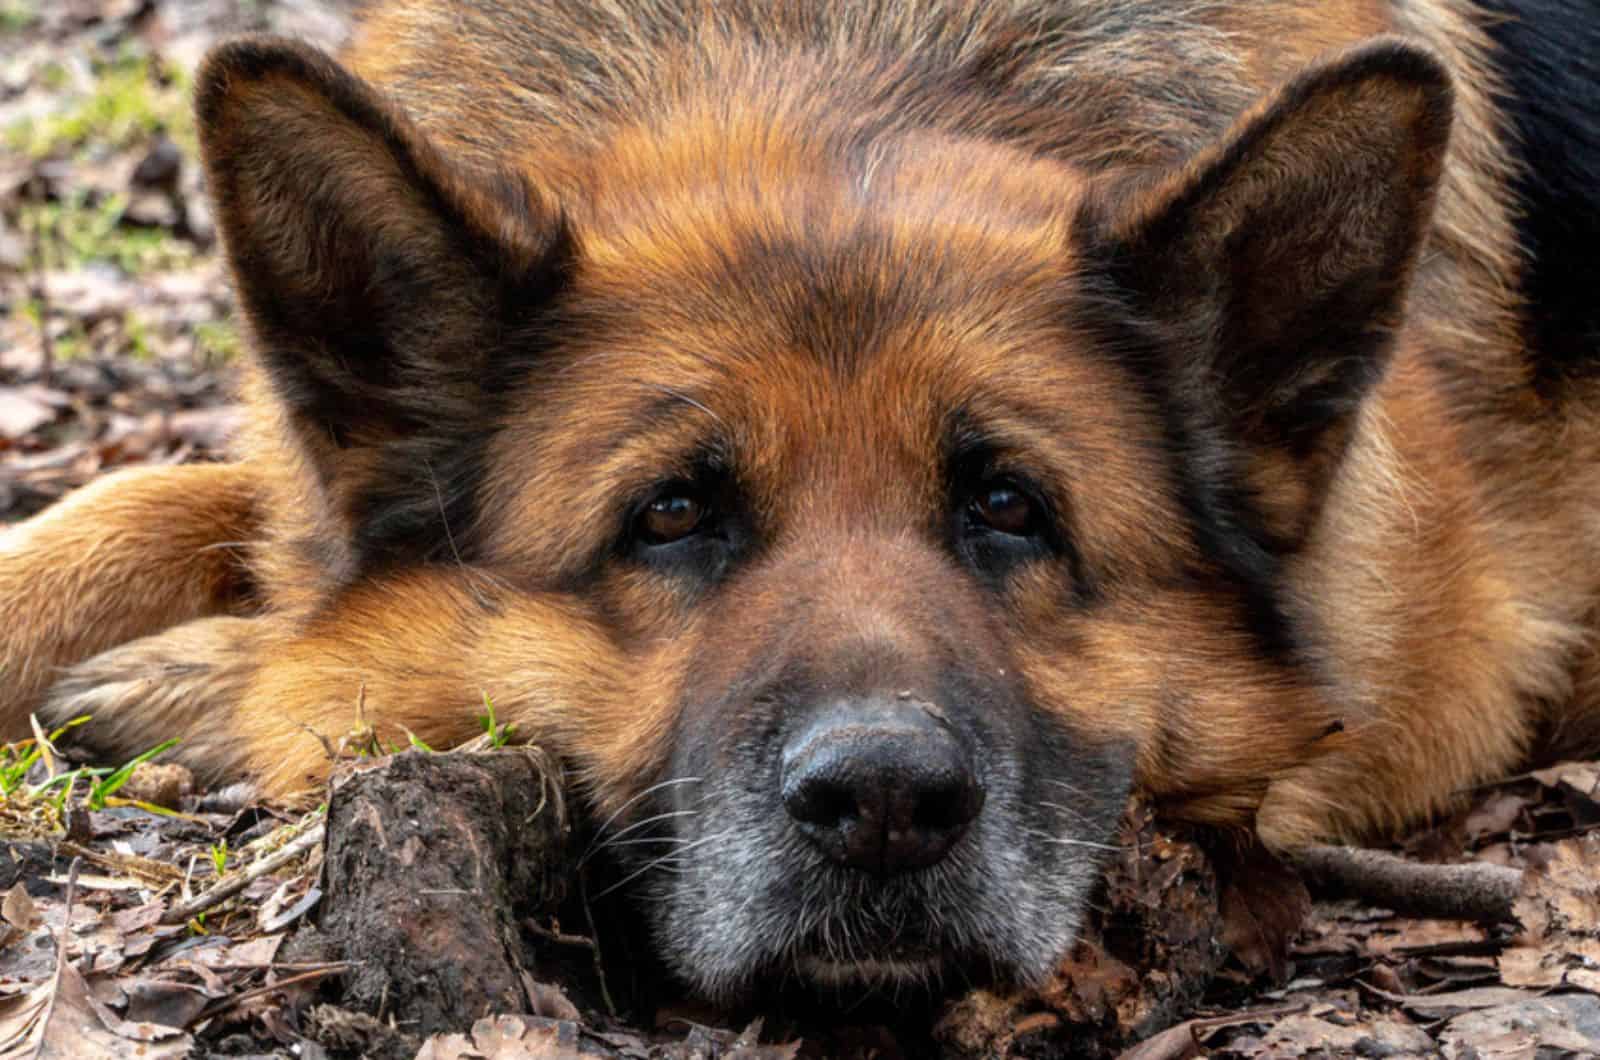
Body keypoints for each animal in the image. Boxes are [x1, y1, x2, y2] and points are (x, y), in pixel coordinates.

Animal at [3, 0, 1600, 1005]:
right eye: (669, 515)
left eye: (1010, 505)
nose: (885, 806)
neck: (831, 55)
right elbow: (142, 500)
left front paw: (201, 679)